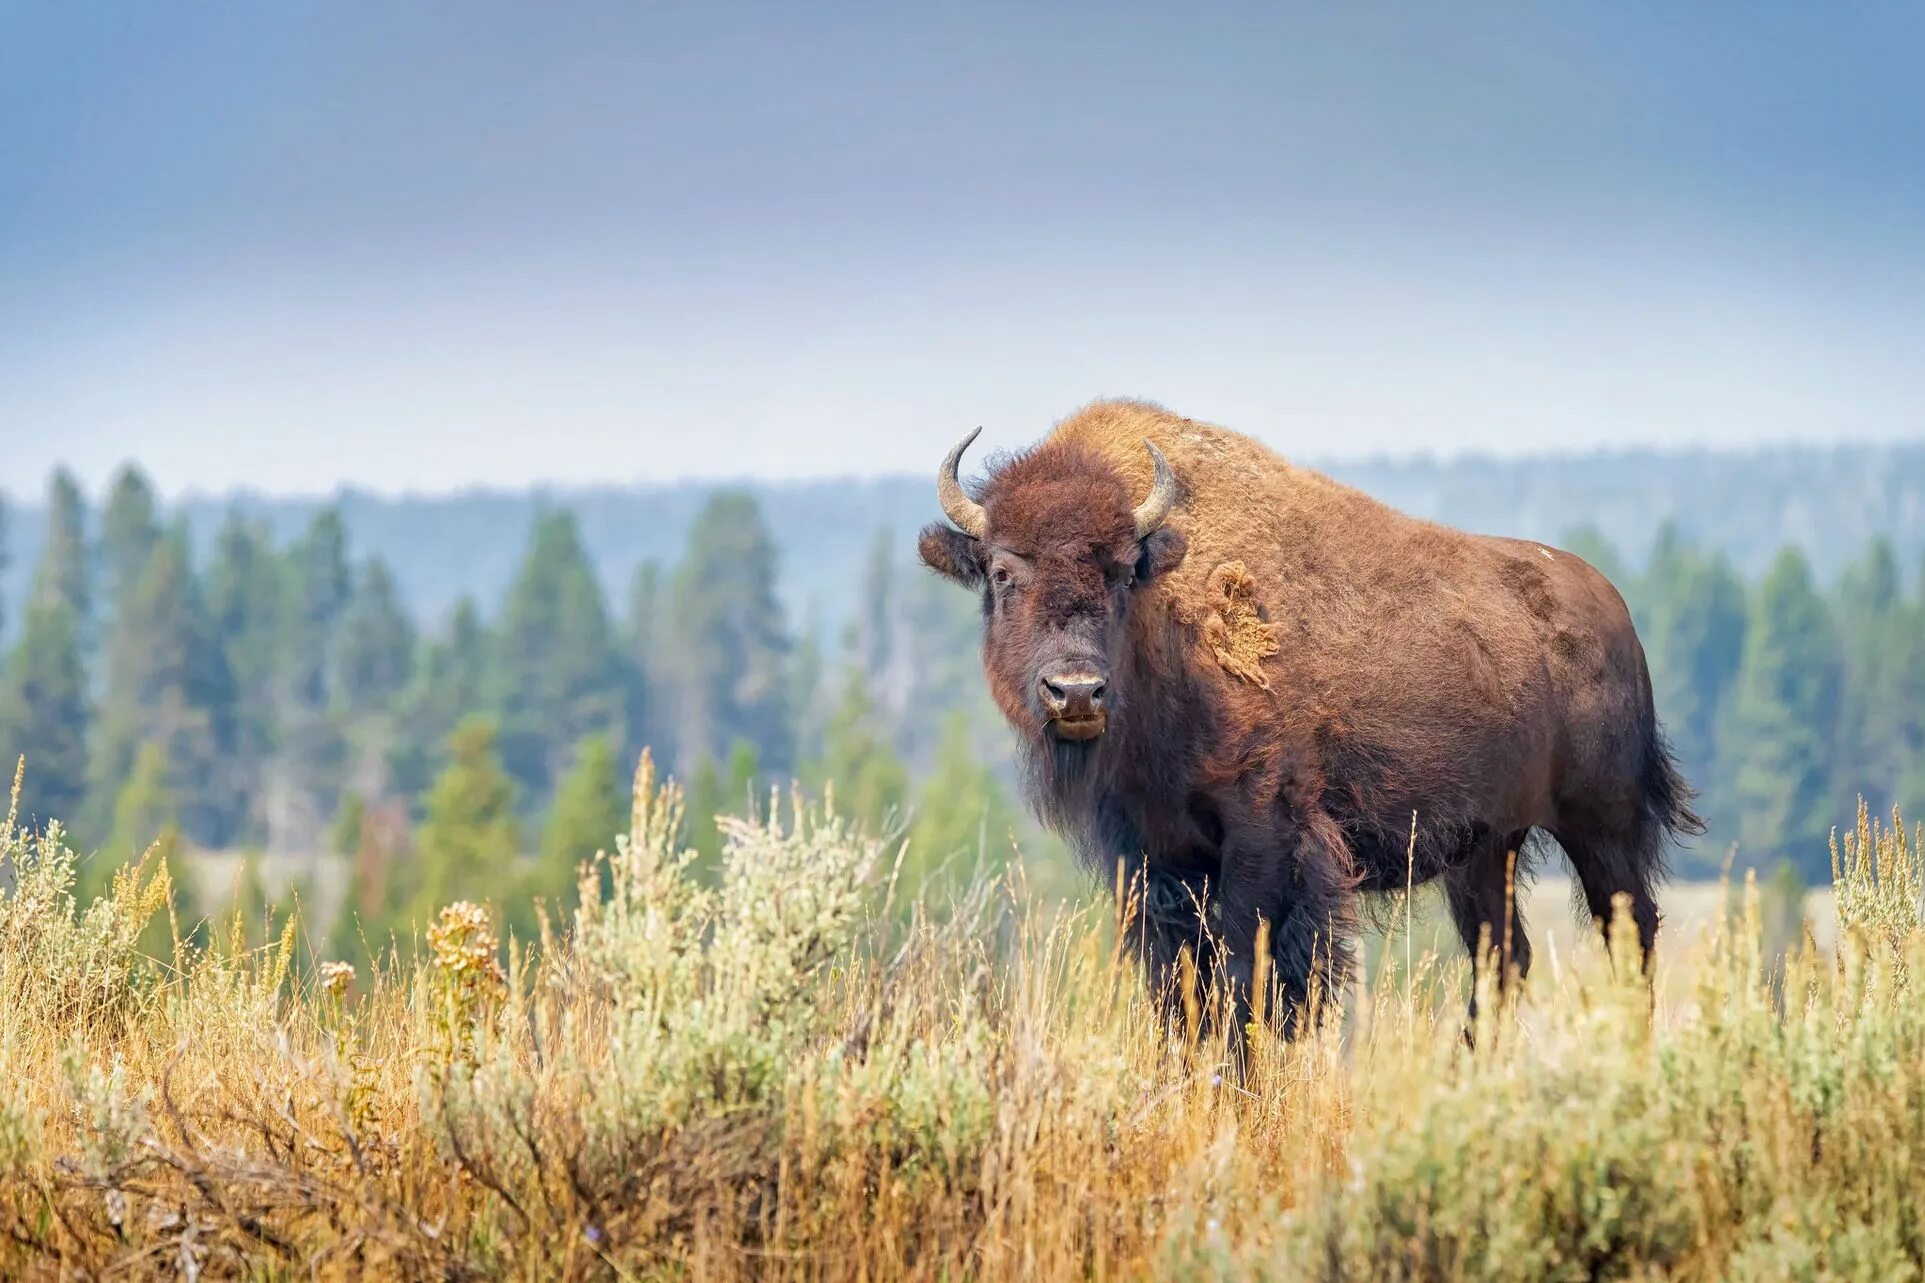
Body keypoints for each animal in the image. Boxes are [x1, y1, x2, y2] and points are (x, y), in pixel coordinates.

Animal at [916, 400, 1701, 1017]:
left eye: (1120, 571)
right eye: (1001, 571)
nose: (1076, 690)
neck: (1165, 623)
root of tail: (1611, 609)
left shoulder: (1265, 838)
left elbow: (1252, 980)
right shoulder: (1150, 856)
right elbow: (1179, 990)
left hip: (1603, 827)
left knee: (1633, 940)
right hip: (1487, 847)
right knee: (1503, 961)